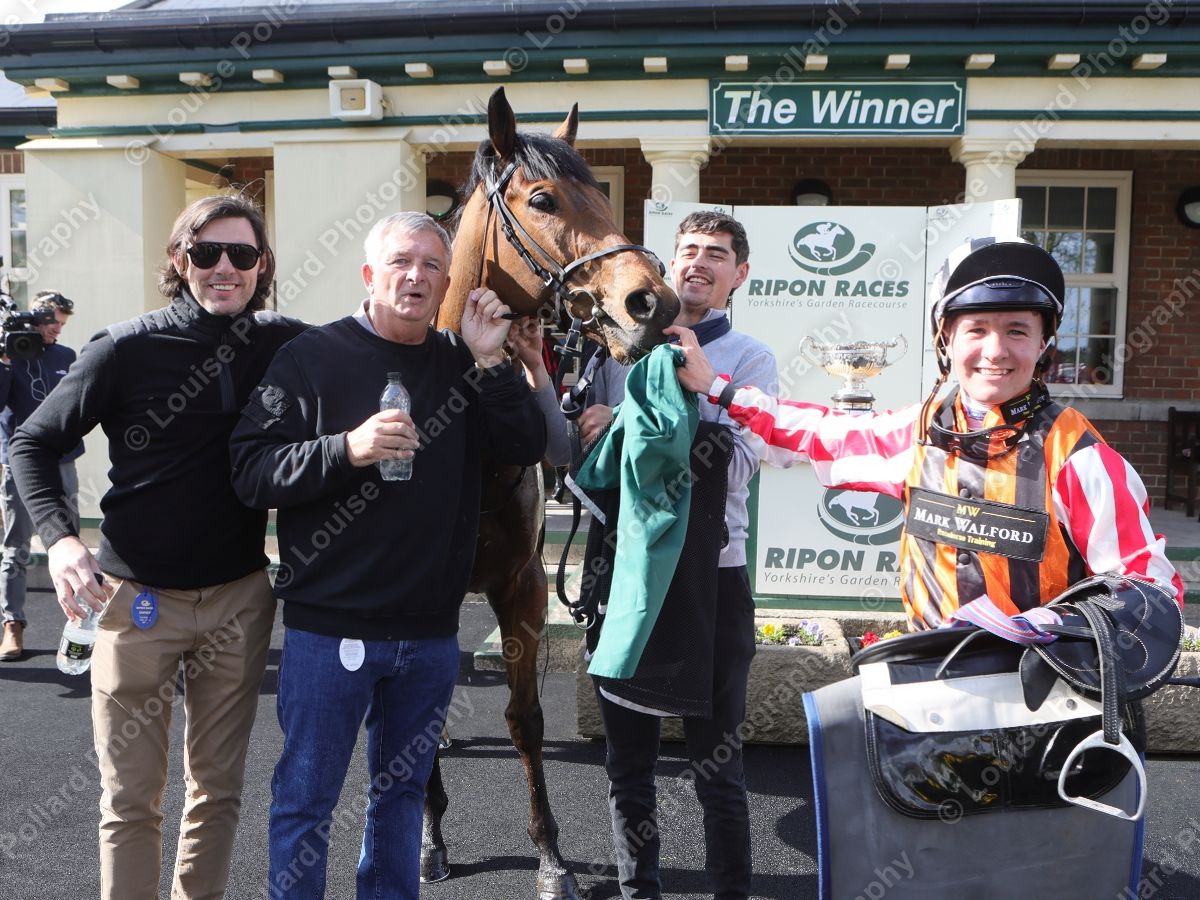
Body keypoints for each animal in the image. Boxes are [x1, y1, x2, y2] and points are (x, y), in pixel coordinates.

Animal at [429, 87, 680, 899]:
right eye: (542, 198)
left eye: (602, 191)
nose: (650, 302)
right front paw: (430, 838)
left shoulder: (522, 584)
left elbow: (526, 718)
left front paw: (550, 857)